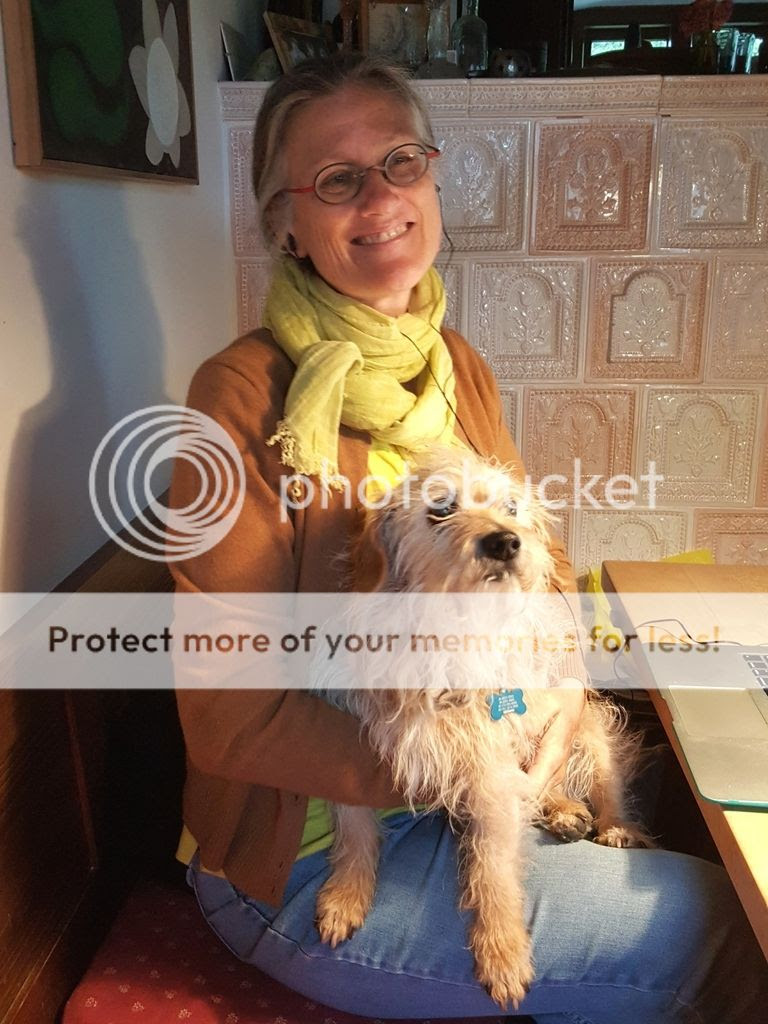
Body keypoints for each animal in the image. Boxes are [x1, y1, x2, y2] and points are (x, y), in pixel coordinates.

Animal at [312, 449, 651, 1009]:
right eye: (441, 508)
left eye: (511, 508)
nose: (506, 541)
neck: (447, 638)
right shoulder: (349, 739)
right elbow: (356, 829)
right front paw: (345, 895)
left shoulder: (490, 773)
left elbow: (493, 868)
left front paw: (503, 951)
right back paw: (562, 812)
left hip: (589, 734)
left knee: (602, 785)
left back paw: (608, 823)